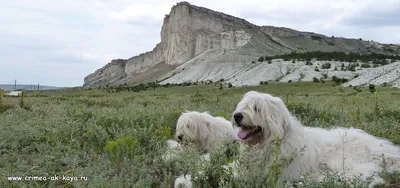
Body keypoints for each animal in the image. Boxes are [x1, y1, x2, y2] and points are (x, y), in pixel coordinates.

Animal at [231, 90, 400, 187]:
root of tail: (380, 146)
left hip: (341, 159)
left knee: (367, 176)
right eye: (242, 106)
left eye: (256, 108)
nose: (237, 116)